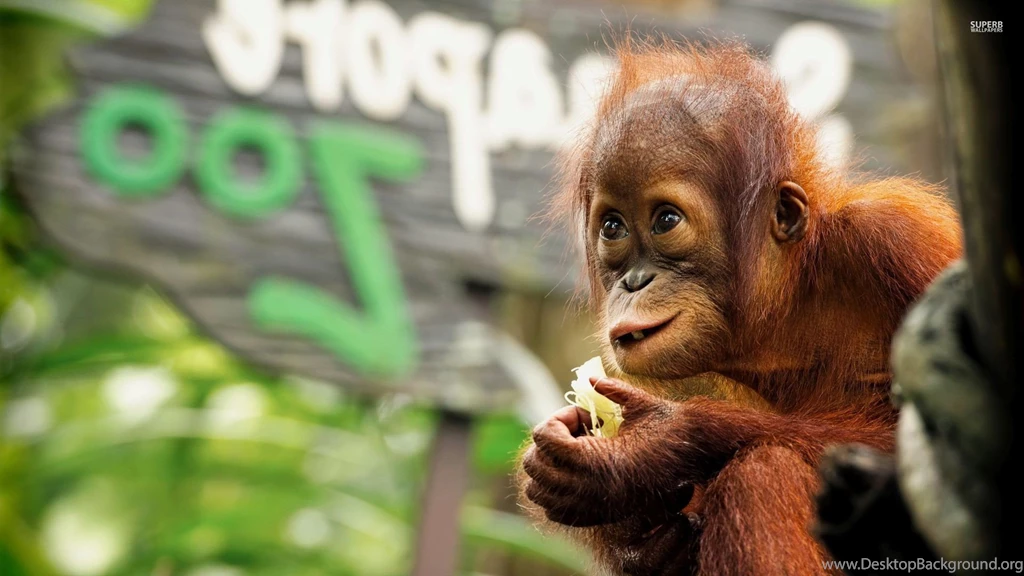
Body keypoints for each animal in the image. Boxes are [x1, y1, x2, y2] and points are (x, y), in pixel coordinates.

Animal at [518, 41, 963, 575]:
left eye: (666, 220)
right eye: (613, 227)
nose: (634, 282)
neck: (789, 303)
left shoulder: (903, 241)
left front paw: (649, 450)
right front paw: (635, 534)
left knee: (764, 470)